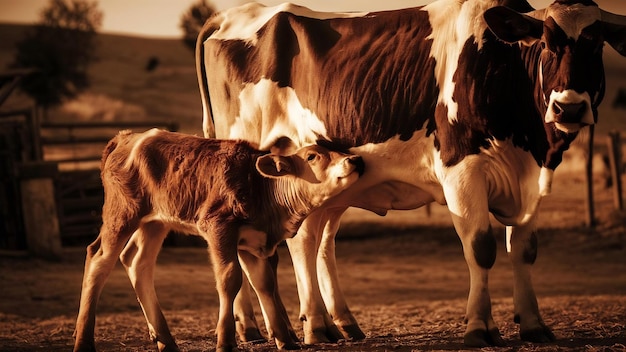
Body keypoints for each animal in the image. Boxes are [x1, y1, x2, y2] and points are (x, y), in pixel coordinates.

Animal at [72, 129, 366, 352]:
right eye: (312, 156)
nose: (354, 160)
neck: (261, 190)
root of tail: (126, 137)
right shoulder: (218, 227)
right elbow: (230, 279)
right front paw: (225, 341)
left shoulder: (253, 243)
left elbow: (265, 283)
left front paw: (286, 340)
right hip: (122, 214)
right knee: (99, 258)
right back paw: (84, 341)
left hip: (156, 222)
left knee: (136, 261)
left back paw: (166, 341)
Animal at [195, 0, 624, 346]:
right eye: (548, 43)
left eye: (596, 44)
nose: (569, 107)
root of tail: (227, 15)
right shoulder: (461, 169)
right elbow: (481, 248)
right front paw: (480, 327)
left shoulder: (531, 180)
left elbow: (524, 249)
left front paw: (534, 324)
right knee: (279, 244)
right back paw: (290, 327)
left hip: (332, 182)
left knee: (317, 242)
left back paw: (333, 323)